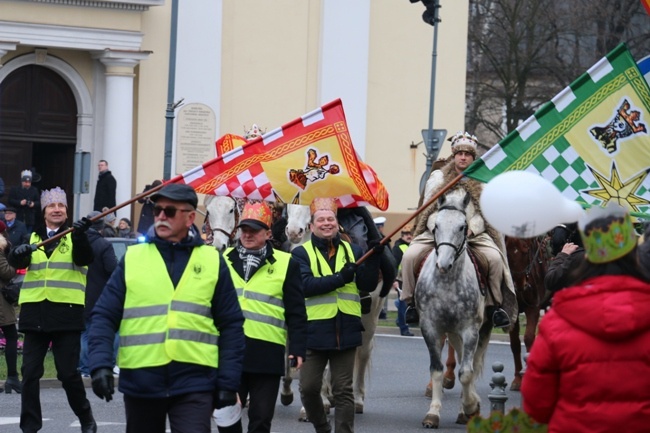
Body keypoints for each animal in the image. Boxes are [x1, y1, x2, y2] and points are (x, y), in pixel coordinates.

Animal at [416, 190, 492, 428]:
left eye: (462, 227)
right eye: (436, 226)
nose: (443, 264)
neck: (447, 282)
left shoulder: (470, 330)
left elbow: (466, 373)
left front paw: (471, 406)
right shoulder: (430, 328)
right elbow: (437, 370)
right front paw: (432, 414)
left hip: (478, 331)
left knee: (471, 366)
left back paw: (465, 410)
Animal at [502, 235, 548, 390]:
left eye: (526, 250)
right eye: (507, 252)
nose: (520, 285)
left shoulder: (533, 308)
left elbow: (528, 338)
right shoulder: (513, 313)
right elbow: (515, 344)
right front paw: (517, 379)